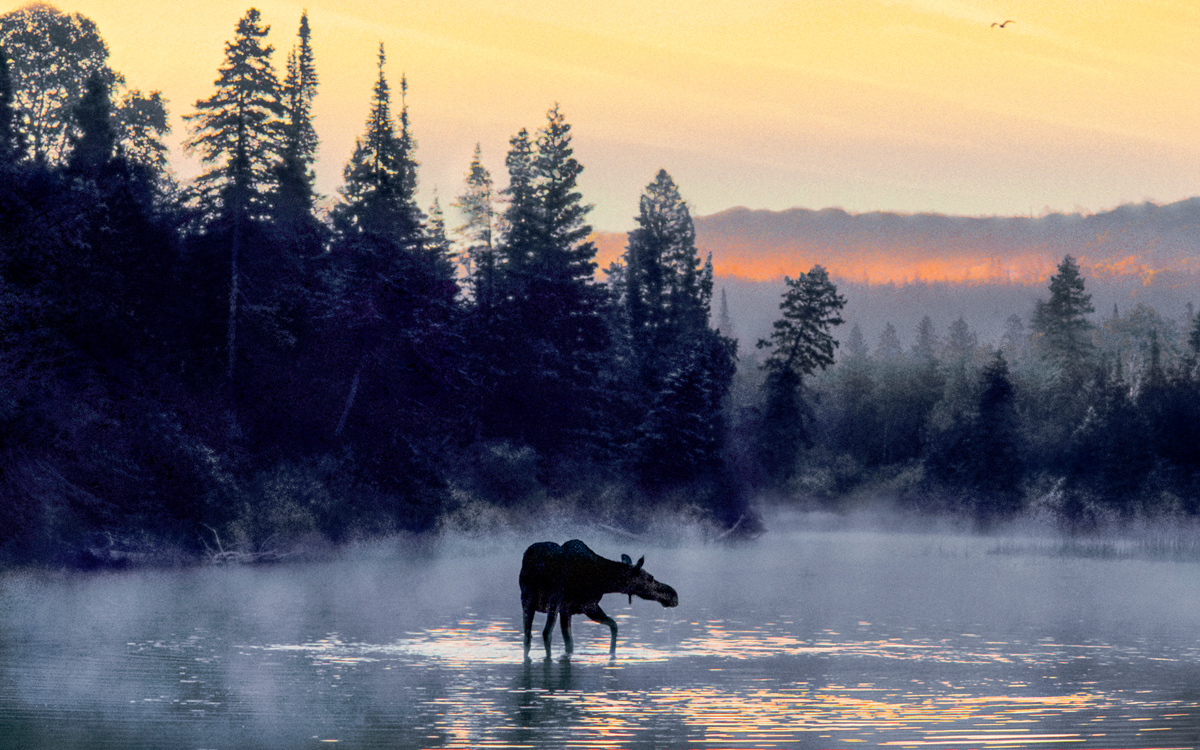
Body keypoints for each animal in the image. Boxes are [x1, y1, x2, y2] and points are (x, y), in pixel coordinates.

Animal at [520, 537, 681, 652]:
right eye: (650, 578)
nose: (673, 595)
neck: (605, 582)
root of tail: (537, 567)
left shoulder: (567, 610)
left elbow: (570, 643)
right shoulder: (588, 605)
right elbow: (614, 625)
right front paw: (612, 653)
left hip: (527, 599)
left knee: (528, 635)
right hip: (554, 599)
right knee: (546, 633)